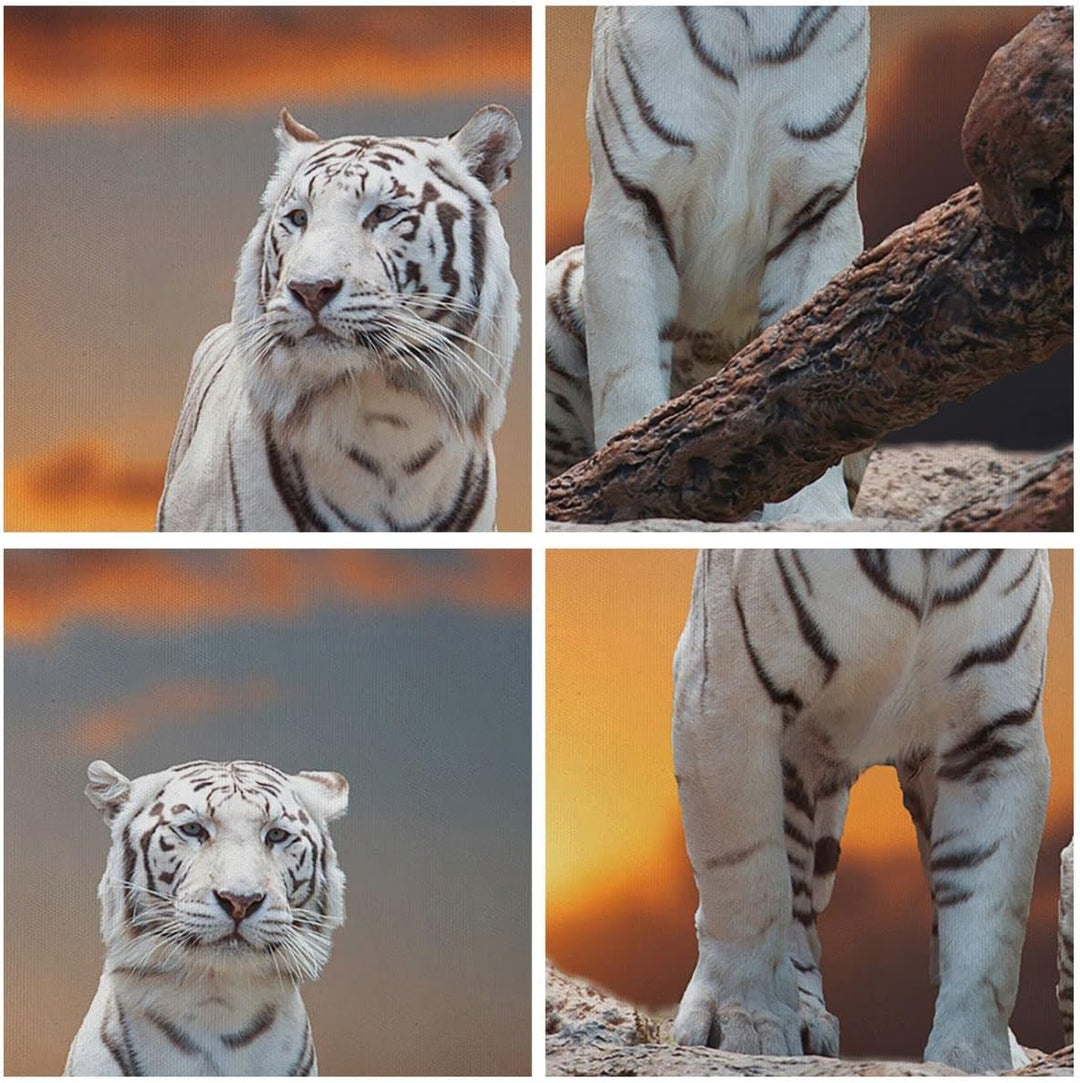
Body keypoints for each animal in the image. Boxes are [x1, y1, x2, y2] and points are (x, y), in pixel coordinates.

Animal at [673, 549, 1051, 1071]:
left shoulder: (994, 739)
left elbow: (991, 926)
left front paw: (974, 1057)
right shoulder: (728, 693)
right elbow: (746, 880)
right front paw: (740, 1021)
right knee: (789, 899)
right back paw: (799, 1014)